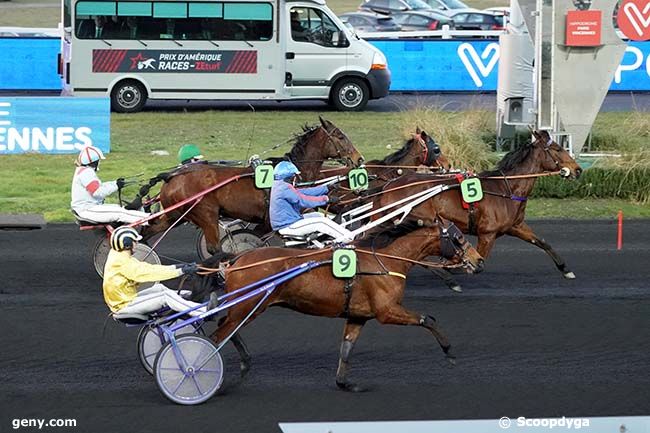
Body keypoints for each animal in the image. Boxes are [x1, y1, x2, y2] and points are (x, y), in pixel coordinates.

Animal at [139, 116, 362, 255]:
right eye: (340, 136)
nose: (358, 159)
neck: (293, 172)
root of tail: (171, 176)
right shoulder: (270, 221)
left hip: (175, 214)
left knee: (147, 231)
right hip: (205, 213)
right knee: (214, 249)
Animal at [192, 218, 480, 390]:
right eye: (458, 238)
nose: (478, 261)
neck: (386, 260)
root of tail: (236, 259)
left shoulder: (358, 315)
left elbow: (346, 348)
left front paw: (344, 383)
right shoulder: (387, 311)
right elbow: (427, 319)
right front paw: (449, 352)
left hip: (246, 307)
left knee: (227, 327)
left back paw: (244, 363)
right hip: (250, 305)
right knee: (218, 335)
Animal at [372, 128, 580, 290]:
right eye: (558, 148)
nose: (578, 170)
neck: (506, 189)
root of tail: (388, 186)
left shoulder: (516, 226)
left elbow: (543, 242)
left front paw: (566, 270)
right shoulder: (487, 234)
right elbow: (474, 258)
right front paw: (450, 266)